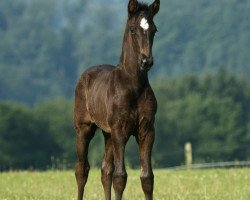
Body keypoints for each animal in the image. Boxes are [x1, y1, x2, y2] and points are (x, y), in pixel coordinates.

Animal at [74, 0, 160, 199]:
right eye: (133, 29)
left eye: (154, 29)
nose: (146, 61)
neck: (134, 87)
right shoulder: (120, 131)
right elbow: (120, 177)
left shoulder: (147, 131)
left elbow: (147, 177)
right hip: (84, 129)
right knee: (82, 170)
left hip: (107, 133)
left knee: (105, 170)